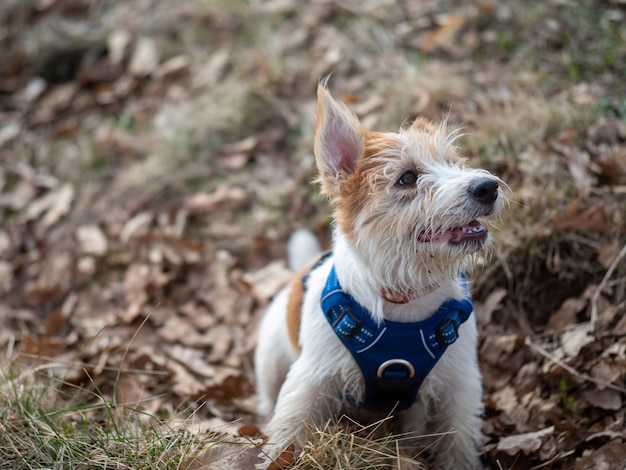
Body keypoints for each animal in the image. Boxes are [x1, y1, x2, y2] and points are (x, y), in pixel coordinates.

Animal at [251, 82, 500, 468]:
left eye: (455, 164)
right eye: (407, 178)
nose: (489, 186)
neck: (403, 295)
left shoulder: (460, 385)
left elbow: (458, 444)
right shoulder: (308, 383)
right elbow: (286, 436)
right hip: (270, 362)